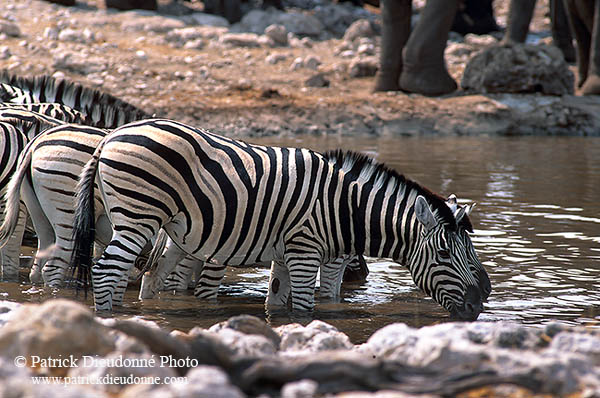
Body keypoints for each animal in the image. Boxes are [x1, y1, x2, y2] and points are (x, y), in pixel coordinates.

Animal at [71, 116, 488, 318]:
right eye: (446, 255)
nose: (482, 300)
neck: (343, 206)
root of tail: (109, 137)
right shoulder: (305, 252)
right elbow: (303, 307)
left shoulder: (286, 255)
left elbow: (277, 303)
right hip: (138, 215)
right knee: (106, 270)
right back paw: (108, 322)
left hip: (152, 223)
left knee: (131, 275)